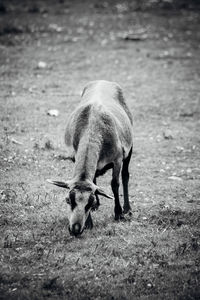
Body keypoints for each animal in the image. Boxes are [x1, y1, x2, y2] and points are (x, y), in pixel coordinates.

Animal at [47, 80, 133, 237]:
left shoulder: (117, 158)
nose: (75, 229)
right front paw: (89, 223)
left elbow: (115, 184)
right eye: (68, 200)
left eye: (89, 202)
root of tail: (103, 81)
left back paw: (127, 208)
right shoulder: (75, 157)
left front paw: (118, 214)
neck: (92, 128)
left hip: (129, 147)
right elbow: (91, 180)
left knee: (125, 175)